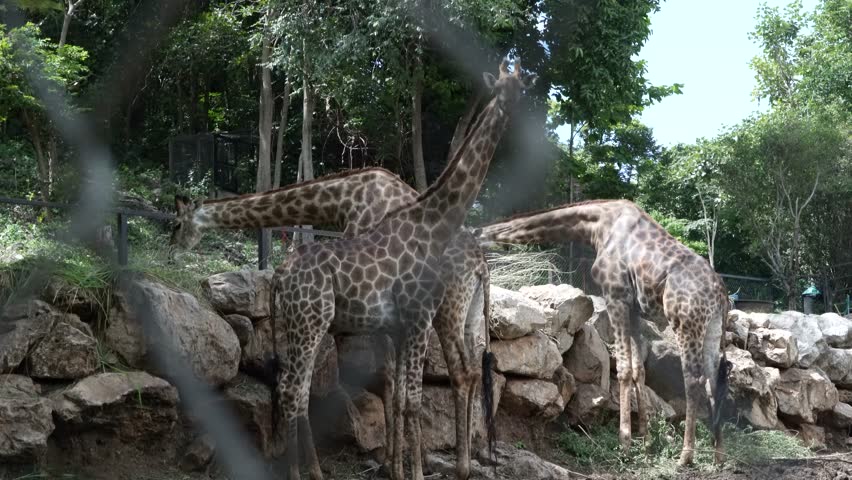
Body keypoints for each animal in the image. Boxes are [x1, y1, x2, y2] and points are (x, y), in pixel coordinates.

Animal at [170, 167, 491, 479]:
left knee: (460, 372)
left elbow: (387, 377)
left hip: (446, 308)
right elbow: (392, 380)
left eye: (176, 224)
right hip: (470, 312)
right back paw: (471, 456)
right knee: (473, 368)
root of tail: (482, 268)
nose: (172, 249)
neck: (341, 198)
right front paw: (394, 462)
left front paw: (393, 464)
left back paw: (461, 465)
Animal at [269, 59, 534, 480]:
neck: (431, 225)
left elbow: (403, 398)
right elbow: (411, 401)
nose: (510, 110)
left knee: (293, 389)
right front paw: (415, 472)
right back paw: (300, 473)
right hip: (310, 322)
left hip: (300, 324)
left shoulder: (404, 324)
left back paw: (310, 470)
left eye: (520, 88)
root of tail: (279, 275)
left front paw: (403, 468)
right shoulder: (418, 318)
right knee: (292, 390)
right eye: (501, 89)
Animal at [474, 199, 731, 467]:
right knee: (715, 378)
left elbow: (624, 370)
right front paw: (646, 443)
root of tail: (721, 292)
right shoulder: (633, 309)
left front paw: (625, 444)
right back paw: (718, 455)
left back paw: (685, 455)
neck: (596, 225)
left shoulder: (616, 296)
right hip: (713, 327)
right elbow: (638, 370)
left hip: (685, 322)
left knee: (693, 379)